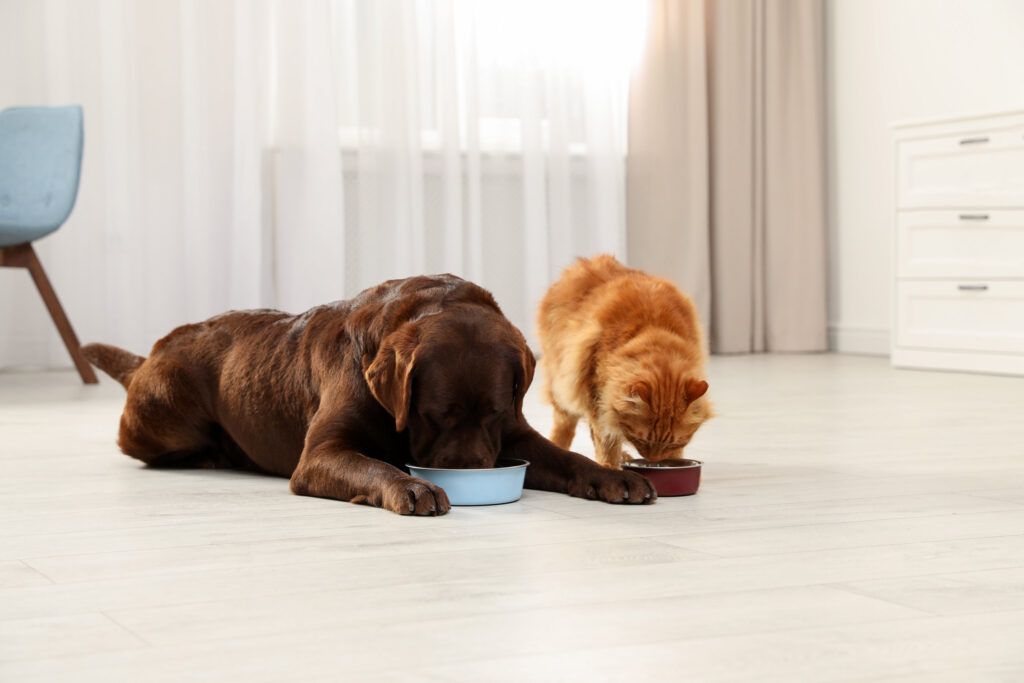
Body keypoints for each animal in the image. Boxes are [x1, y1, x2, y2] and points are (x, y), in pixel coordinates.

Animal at [81, 274, 655, 516]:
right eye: (433, 414)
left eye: (492, 413)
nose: (471, 472)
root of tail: (149, 355)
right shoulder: (320, 454)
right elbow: (373, 465)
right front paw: (413, 486)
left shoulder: (513, 432)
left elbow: (565, 457)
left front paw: (614, 477)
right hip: (166, 412)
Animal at [536, 254, 712, 471]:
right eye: (642, 440)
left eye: (672, 443)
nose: (654, 460)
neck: (654, 332)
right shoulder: (598, 397)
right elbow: (607, 441)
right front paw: (609, 467)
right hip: (563, 383)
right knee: (564, 425)